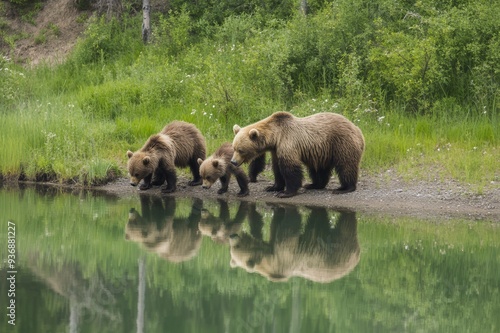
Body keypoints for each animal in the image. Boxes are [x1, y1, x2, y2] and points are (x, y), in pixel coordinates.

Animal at [232, 111, 366, 197]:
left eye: (241, 150)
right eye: (234, 148)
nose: (233, 161)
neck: (275, 137)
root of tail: (358, 129)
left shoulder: (288, 143)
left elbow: (290, 168)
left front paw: (286, 192)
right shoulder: (276, 150)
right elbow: (277, 169)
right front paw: (272, 187)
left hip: (342, 143)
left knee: (346, 165)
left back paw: (344, 188)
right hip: (323, 151)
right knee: (319, 169)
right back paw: (314, 184)